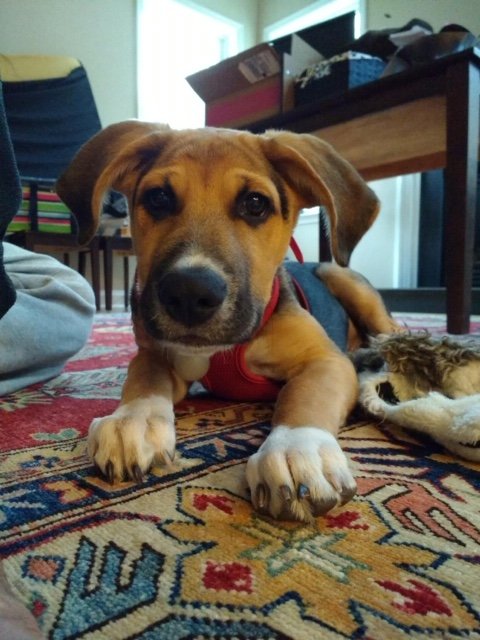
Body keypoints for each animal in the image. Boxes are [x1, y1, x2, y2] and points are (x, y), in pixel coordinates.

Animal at [57, 122, 398, 524]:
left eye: (255, 203)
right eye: (159, 198)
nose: (189, 293)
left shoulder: (326, 361)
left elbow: (303, 396)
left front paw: (296, 448)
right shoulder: (153, 353)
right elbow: (144, 379)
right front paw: (134, 419)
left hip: (340, 276)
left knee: (395, 333)